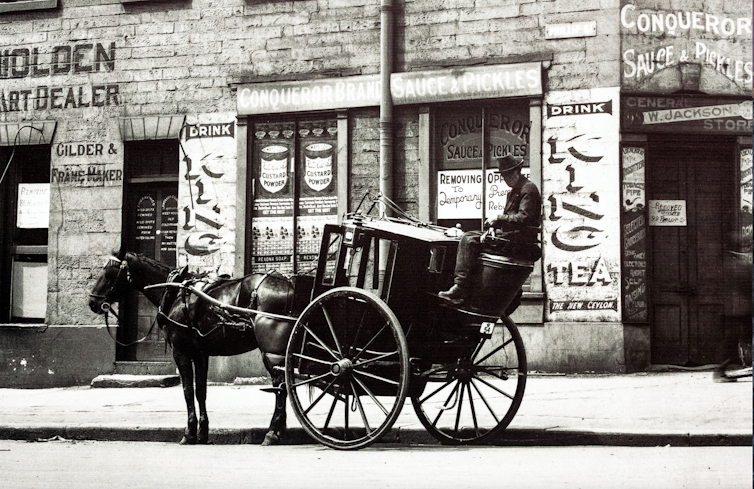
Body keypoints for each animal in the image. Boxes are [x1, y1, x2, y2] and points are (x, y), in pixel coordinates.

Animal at [89, 250, 312, 444]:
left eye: (108, 272)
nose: (92, 301)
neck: (174, 291)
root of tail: (289, 285)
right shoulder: (200, 353)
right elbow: (200, 391)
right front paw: (203, 432)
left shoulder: (181, 351)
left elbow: (187, 390)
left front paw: (189, 433)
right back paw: (278, 431)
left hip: (272, 351)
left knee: (281, 386)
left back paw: (273, 433)